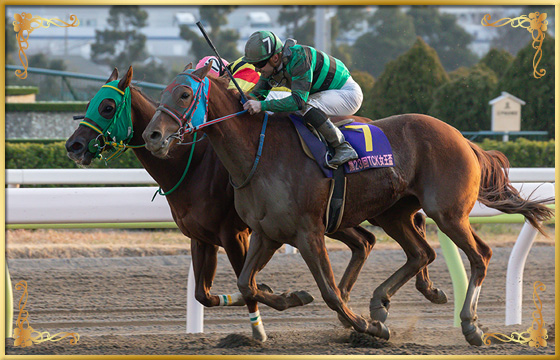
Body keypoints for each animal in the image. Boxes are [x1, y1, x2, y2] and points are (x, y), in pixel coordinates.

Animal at [66, 67, 446, 344]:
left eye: (107, 107)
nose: (73, 146)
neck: (191, 163)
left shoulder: (235, 234)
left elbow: (245, 284)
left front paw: (263, 324)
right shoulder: (201, 238)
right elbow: (206, 294)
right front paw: (275, 294)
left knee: (404, 231)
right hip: (342, 217)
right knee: (368, 242)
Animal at [142, 63, 552, 344]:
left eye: (183, 94)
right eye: (161, 94)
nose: (152, 136)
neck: (259, 155)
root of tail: (462, 138)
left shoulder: (308, 231)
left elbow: (329, 291)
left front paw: (364, 326)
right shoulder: (264, 233)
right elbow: (246, 283)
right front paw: (295, 297)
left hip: (447, 212)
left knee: (479, 254)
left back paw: (469, 325)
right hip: (394, 213)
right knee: (420, 252)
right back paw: (381, 302)